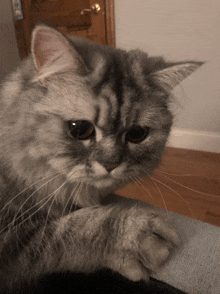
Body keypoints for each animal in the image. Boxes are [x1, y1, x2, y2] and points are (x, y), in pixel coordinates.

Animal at [0, 24, 203, 292]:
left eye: (137, 134)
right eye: (80, 129)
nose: (110, 164)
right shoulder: (13, 241)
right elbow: (70, 231)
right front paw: (134, 235)